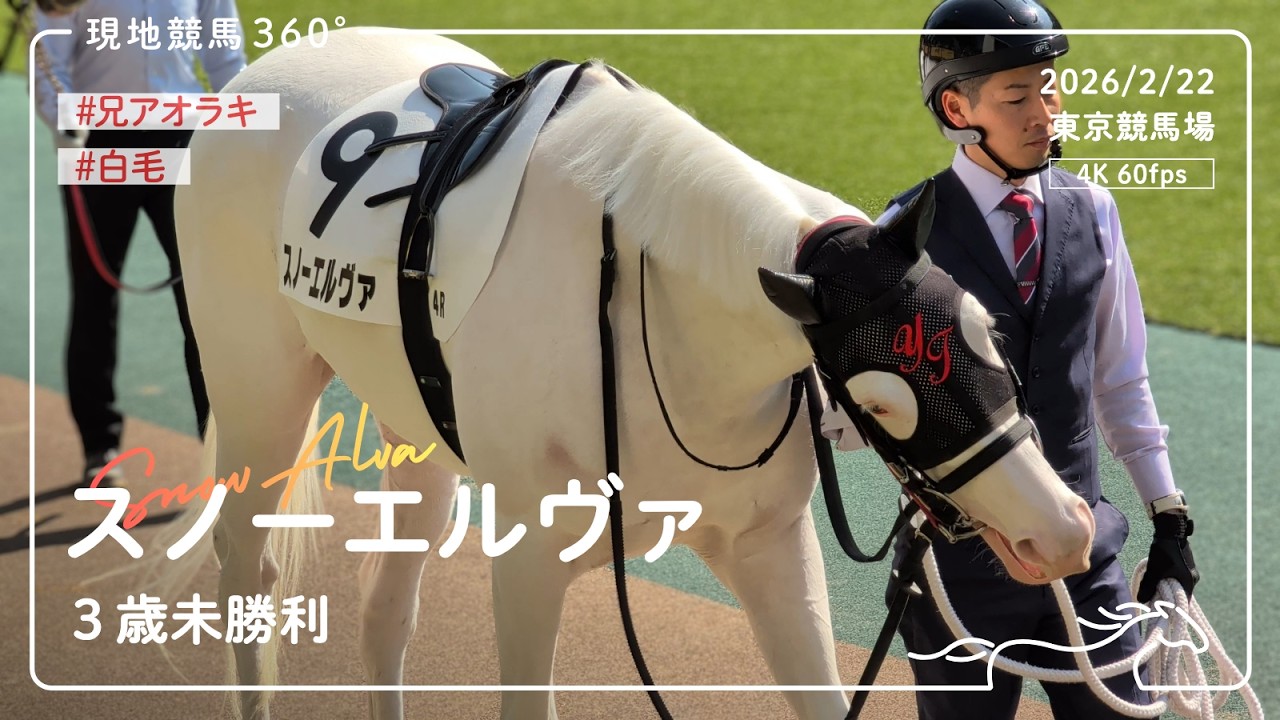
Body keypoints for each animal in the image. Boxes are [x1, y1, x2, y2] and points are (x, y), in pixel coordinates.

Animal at [161, 27, 1095, 720]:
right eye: (883, 400)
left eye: (987, 337)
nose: (1064, 530)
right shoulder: (529, 557)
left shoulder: (767, 545)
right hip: (259, 391)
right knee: (248, 566)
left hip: (417, 438)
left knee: (384, 605)